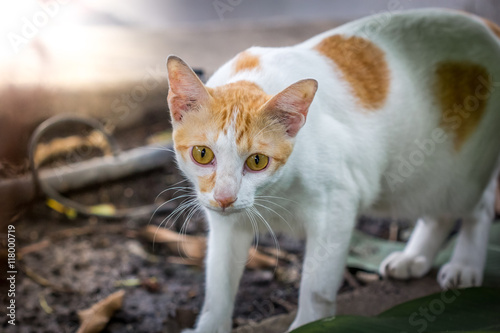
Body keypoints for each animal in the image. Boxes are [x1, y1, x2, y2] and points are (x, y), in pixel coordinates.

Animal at [166, 8, 500, 332]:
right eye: (202, 154)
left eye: (257, 161)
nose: (225, 198)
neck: (275, 193)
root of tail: (484, 23)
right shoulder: (225, 225)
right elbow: (217, 291)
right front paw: (209, 326)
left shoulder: (336, 209)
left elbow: (317, 288)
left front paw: (309, 324)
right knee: (438, 214)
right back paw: (413, 258)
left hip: (458, 178)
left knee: (477, 207)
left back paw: (464, 265)